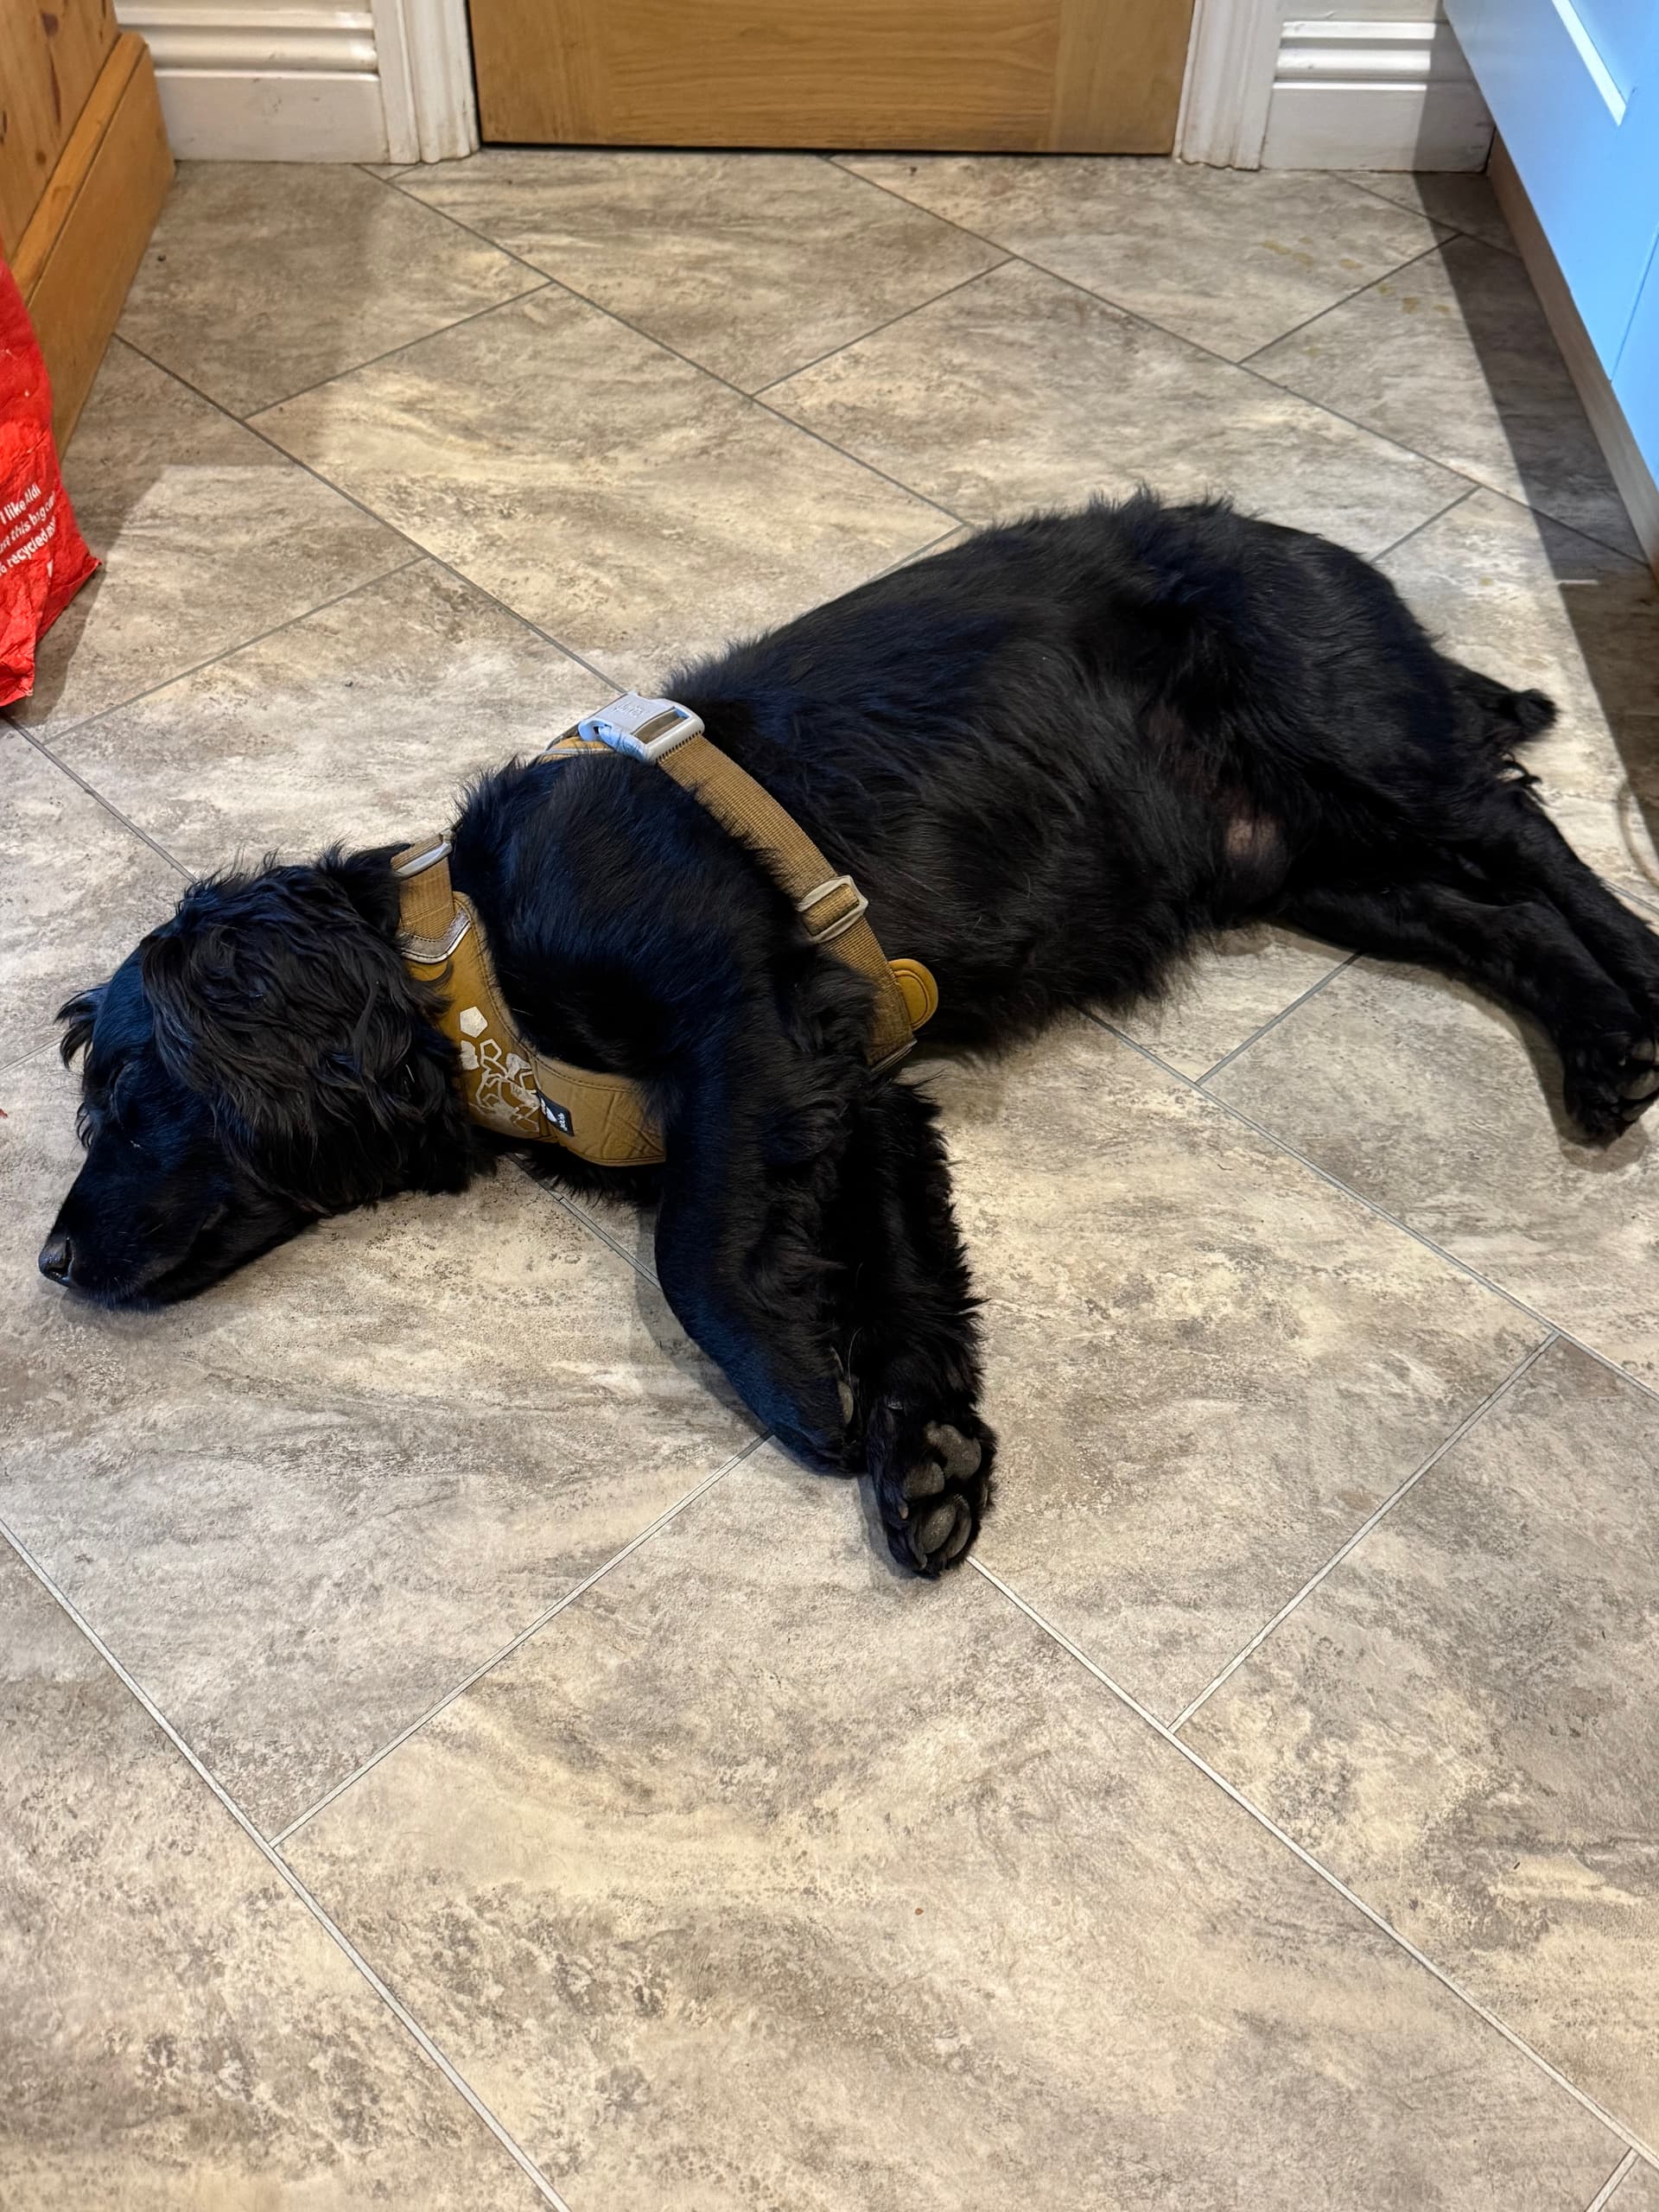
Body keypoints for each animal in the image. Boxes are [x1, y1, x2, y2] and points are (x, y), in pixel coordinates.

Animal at [41, 493, 1659, 1575]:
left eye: (125, 1097)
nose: (50, 1262)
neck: (471, 965)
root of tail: (1314, 545)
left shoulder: (743, 1017)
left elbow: (696, 1258)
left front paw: (800, 1397)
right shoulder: (852, 1085)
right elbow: (904, 1273)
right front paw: (922, 1447)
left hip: (1348, 738)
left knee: (1525, 834)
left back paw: (1639, 994)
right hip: (1305, 863)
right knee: (1494, 920)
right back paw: (1602, 1049)